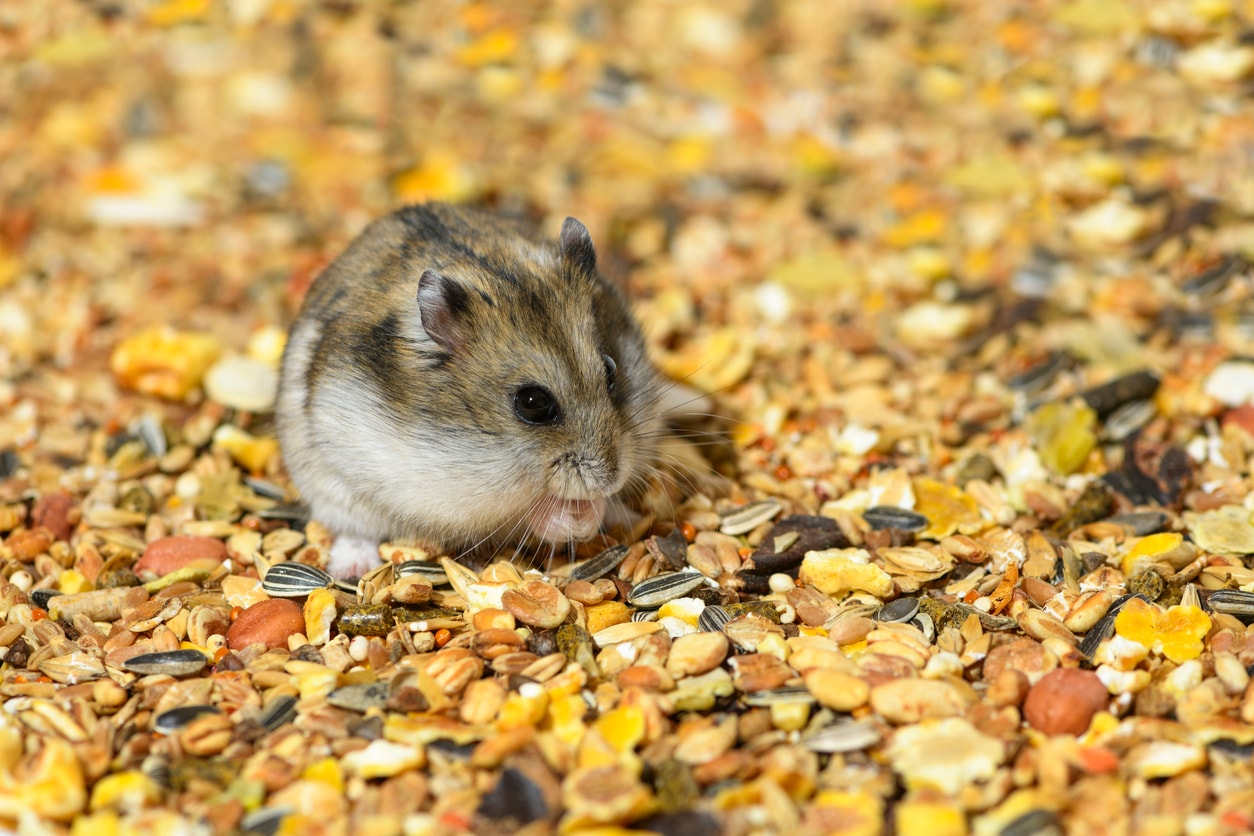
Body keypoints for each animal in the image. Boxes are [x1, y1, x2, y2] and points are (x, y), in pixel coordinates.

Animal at [274, 205, 667, 579]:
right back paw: (352, 569)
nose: (611, 478)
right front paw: (578, 516)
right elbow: (530, 513)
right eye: (533, 403)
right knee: (354, 532)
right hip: (333, 490)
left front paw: (598, 507)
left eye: (611, 370)